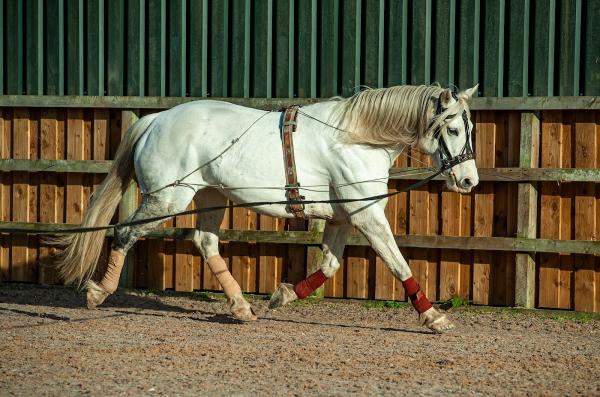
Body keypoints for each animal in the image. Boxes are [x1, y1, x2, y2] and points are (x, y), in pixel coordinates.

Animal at [54, 85, 480, 332]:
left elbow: (329, 267)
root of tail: (156, 120)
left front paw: (283, 295)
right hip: (167, 197)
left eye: (470, 128)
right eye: (454, 129)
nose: (469, 181)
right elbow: (398, 263)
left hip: (210, 195)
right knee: (125, 232)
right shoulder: (367, 215)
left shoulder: (344, 217)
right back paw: (99, 292)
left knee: (206, 242)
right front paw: (433, 316)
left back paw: (242, 307)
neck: (357, 137)